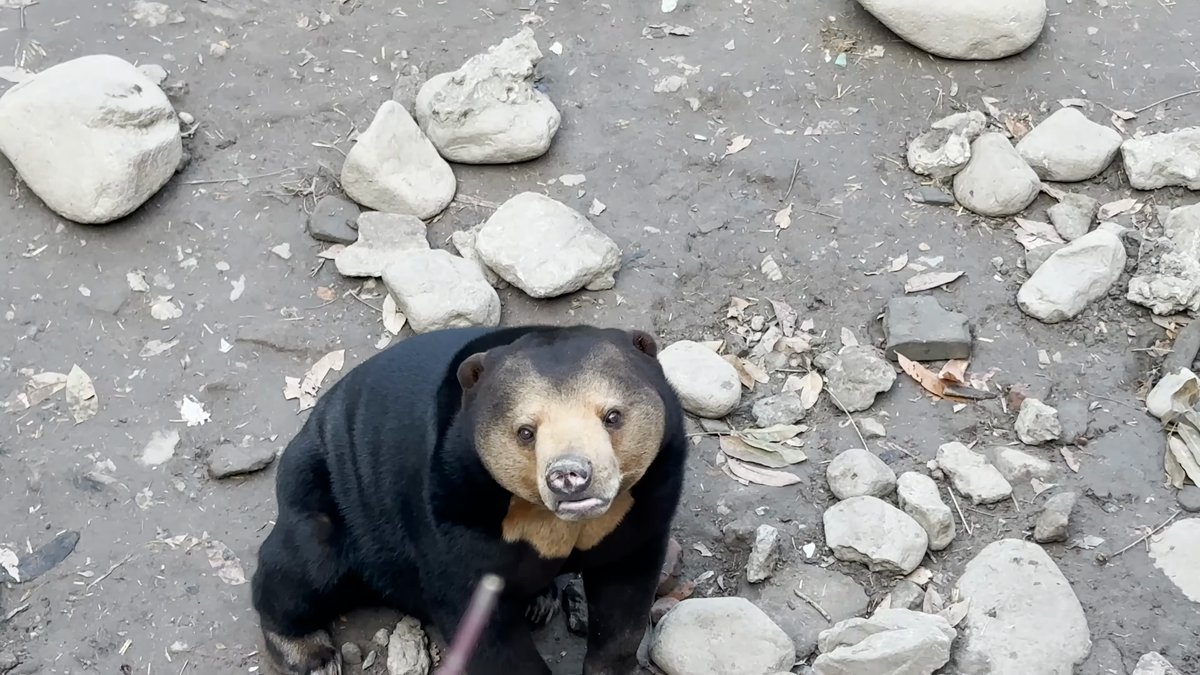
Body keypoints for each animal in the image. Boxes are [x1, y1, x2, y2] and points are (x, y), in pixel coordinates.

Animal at [250, 324, 688, 675]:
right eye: (526, 432)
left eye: (612, 416)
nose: (570, 476)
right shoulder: (454, 509)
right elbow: (479, 622)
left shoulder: (644, 503)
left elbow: (624, 601)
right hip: (327, 493)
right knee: (301, 567)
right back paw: (312, 656)